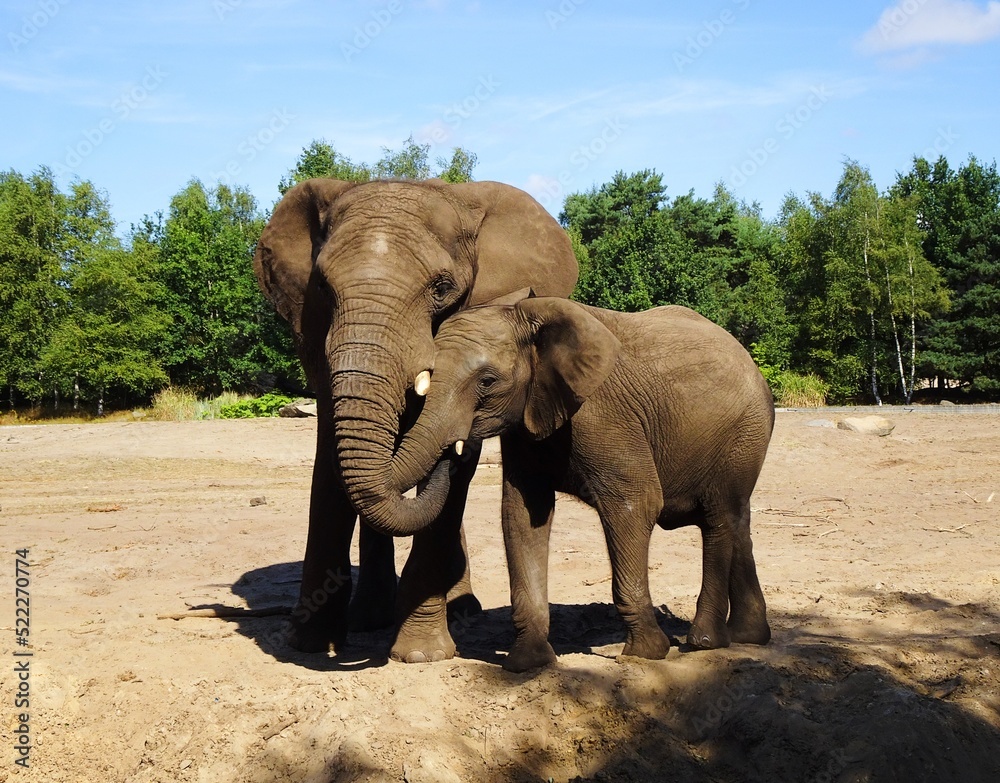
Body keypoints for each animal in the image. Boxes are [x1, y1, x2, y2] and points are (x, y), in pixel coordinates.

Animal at [252, 179, 578, 662]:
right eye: (323, 287)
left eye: (441, 288)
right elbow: (330, 455)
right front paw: (309, 645)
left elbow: (455, 473)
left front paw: (421, 655)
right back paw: (370, 618)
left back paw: (460, 610)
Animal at [379, 295, 774, 672]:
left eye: (487, 382)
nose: (457, 450)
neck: (524, 317)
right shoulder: (529, 419)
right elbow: (523, 515)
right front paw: (527, 663)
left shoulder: (604, 413)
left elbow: (636, 503)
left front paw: (646, 654)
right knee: (738, 521)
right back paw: (749, 637)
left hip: (743, 435)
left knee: (719, 518)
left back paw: (704, 642)